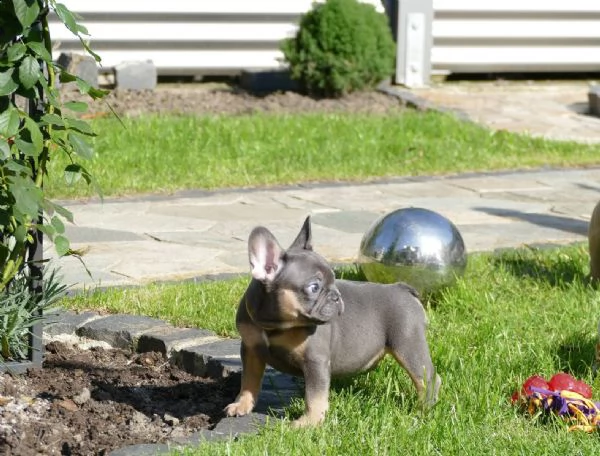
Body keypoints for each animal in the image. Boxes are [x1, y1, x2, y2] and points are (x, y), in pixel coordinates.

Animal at [225, 216, 440, 426]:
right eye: (314, 287)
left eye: (334, 280)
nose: (336, 296)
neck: (274, 325)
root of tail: (402, 288)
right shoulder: (251, 349)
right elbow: (249, 380)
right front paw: (242, 404)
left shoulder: (315, 360)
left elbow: (315, 395)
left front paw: (309, 423)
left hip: (408, 344)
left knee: (426, 379)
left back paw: (423, 411)